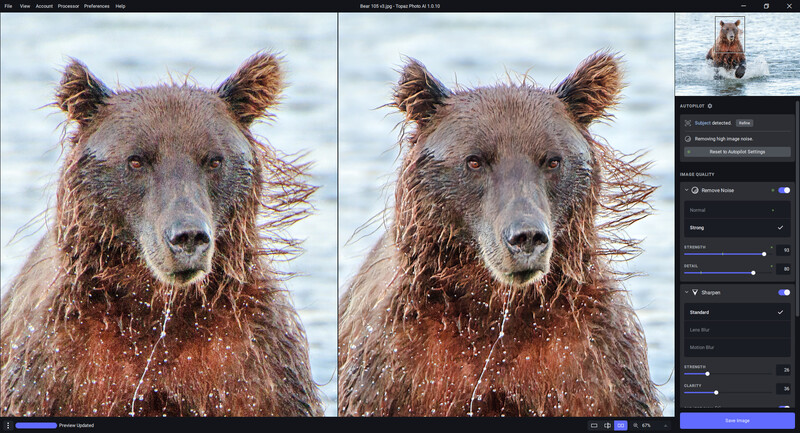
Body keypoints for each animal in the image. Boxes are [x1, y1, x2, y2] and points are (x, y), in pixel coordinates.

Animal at [0, 53, 323, 417]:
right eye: (136, 160)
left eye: (214, 160)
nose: (188, 236)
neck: (157, 309)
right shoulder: (61, 363)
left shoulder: (251, 358)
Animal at [338, 52, 662, 417]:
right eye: (475, 160)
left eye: (552, 160)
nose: (527, 236)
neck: (496, 310)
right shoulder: (401, 365)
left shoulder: (590, 358)